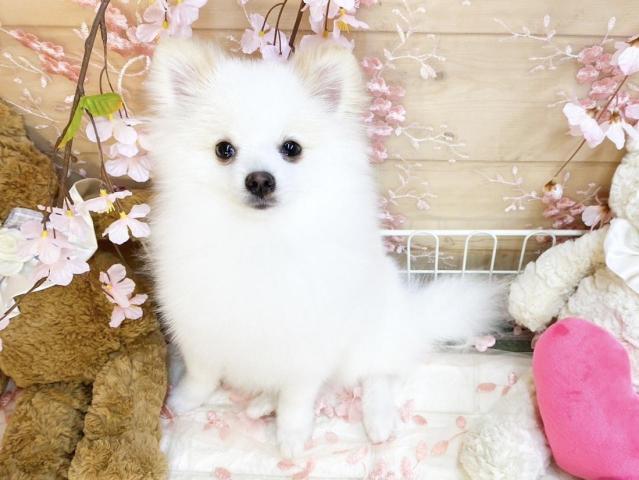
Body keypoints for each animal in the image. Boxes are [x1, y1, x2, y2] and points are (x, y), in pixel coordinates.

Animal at [146, 39, 503, 458]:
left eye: (291, 148)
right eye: (224, 150)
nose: (260, 180)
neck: (261, 238)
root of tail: (412, 315)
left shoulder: (309, 344)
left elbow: (297, 398)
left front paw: (291, 435)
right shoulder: (202, 327)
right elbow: (202, 373)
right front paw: (182, 400)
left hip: (370, 338)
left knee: (379, 374)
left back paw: (378, 420)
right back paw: (261, 402)